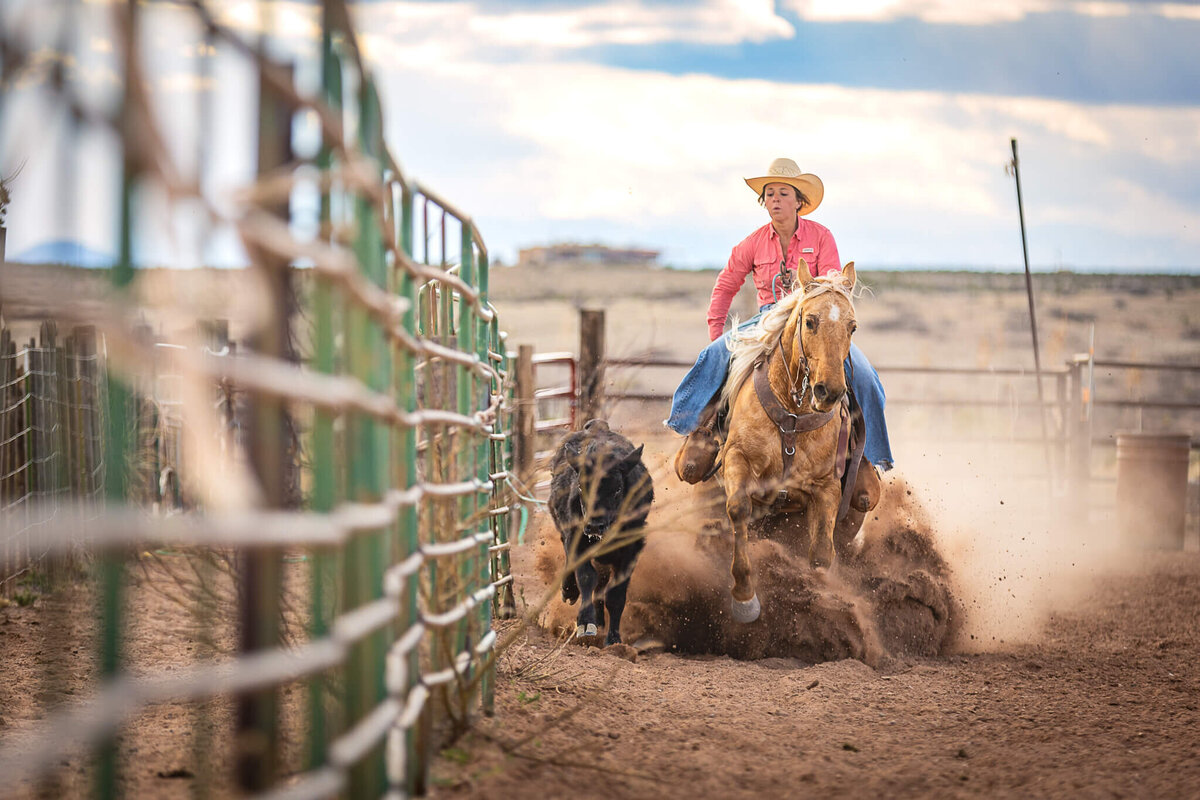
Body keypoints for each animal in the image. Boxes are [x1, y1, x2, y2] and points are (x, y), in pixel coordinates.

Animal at [549, 419, 652, 642]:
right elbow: (587, 577)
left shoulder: (631, 549)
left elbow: (615, 594)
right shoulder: (577, 540)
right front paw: (585, 623)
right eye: (581, 487)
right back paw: (569, 591)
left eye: (618, 488)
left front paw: (613, 638)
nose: (595, 525)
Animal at [720, 262, 864, 623]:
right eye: (810, 321)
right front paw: (745, 598)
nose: (829, 392)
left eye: (852, 327)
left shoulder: (827, 486)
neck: (792, 418)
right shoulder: (736, 458)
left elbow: (822, 553)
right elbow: (738, 508)